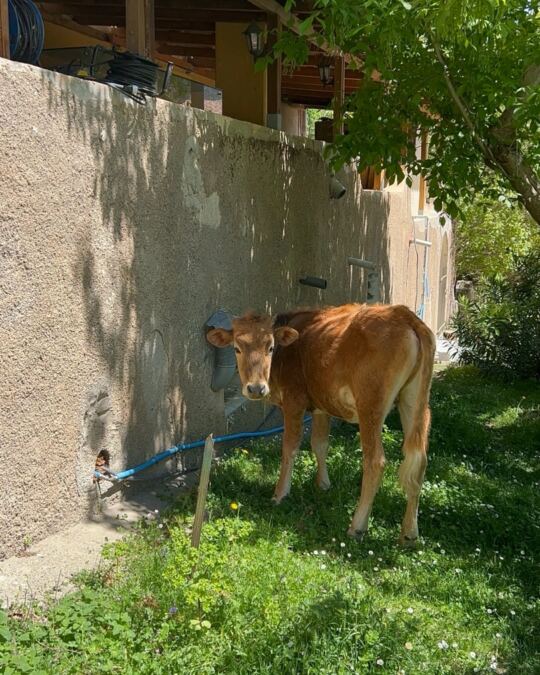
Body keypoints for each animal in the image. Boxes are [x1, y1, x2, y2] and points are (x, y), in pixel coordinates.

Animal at [207, 303, 436, 545]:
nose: (256, 388)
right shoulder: (321, 406)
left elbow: (290, 447)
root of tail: (403, 315)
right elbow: (319, 444)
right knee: (419, 460)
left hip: (371, 405)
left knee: (375, 461)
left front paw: (280, 494)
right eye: (237, 348)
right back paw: (410, 532)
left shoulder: (294, 401)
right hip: (415, 402)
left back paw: (357, 527)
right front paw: (323, 485)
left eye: (270, 347)